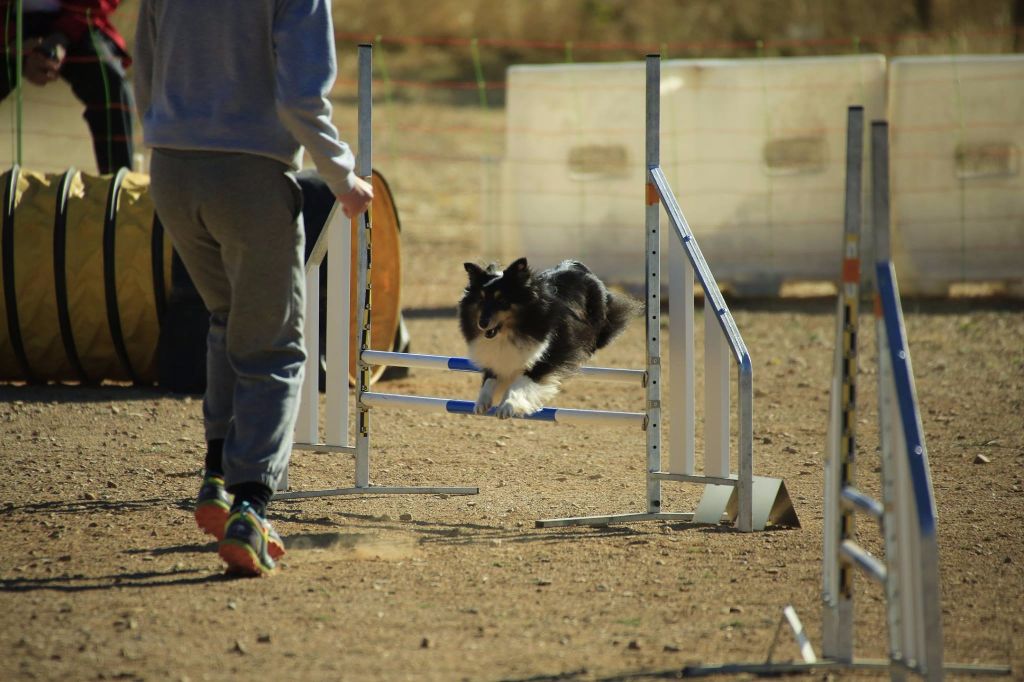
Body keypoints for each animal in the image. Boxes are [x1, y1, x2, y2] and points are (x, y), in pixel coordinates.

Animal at [460, 254, 634, 413]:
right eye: (481, 299)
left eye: (501, 300)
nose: (482, 324)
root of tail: (575, 264)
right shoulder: (498, 359)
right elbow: (489, 380)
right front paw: (481, 402)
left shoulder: (547, 356)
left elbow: (521, 382)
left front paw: (508, 406)